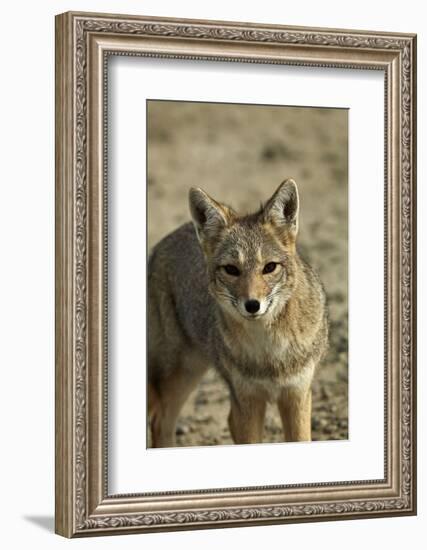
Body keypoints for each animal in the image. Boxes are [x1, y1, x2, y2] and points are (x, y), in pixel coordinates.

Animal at [147, 180, 328, 448]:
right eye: (231, 270)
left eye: (269, 267)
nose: (252, 305)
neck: (269, 354)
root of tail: (161, 244)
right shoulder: (247, 401)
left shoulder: (297, 395)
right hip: (180, 373)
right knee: (160, 421)